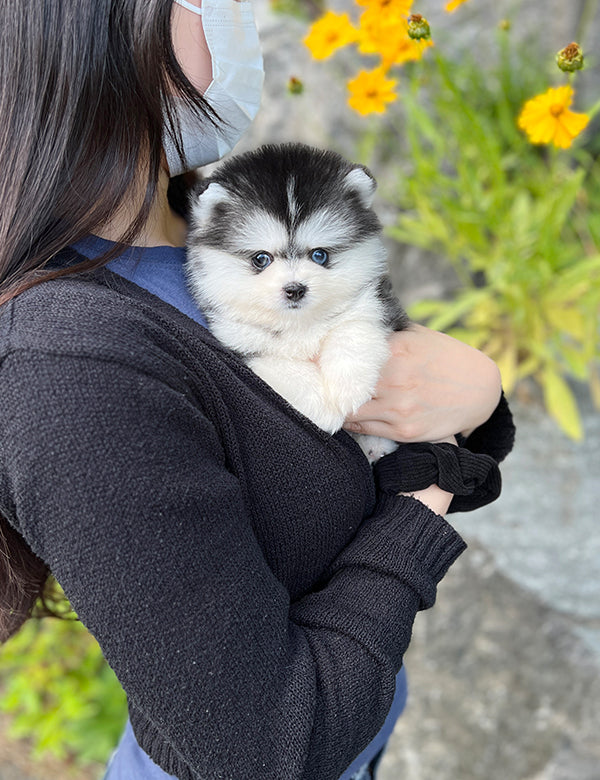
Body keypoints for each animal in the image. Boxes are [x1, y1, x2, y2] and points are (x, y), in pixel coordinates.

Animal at [184, 142, 408, 460]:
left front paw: (348, 385)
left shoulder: (376, 302)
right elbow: (284, 368)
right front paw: (324, 408)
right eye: (261, 259)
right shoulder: (241, 344)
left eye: (320, 255)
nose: (295, 289)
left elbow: (351, 329)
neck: (299, 322)